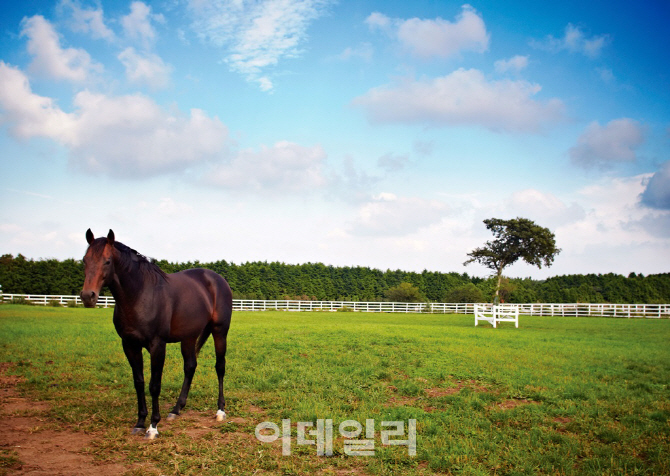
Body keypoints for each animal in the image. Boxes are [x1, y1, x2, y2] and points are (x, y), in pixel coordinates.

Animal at [79, 230, 234, 438]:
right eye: (85, 260)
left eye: (107, 261)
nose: (88, 296)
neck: (140, 295)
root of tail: (217, 279)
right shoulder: (130, 345)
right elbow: (139, 382)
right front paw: (140, 422)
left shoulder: (157, 345)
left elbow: (154, 385)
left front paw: (153, 426)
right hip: (188, 337)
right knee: (190, 367)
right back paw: (176, 409)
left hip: (219, 331)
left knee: (220, 367)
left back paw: (220, 411)